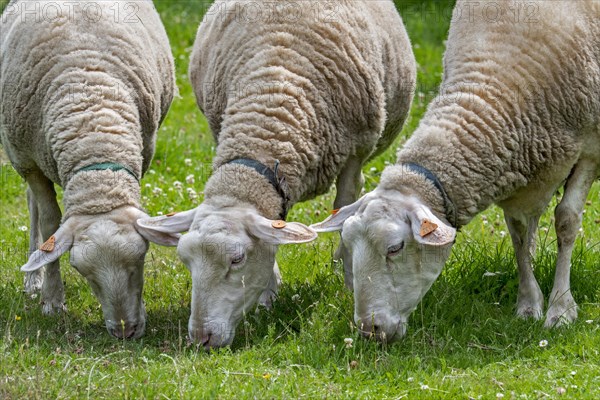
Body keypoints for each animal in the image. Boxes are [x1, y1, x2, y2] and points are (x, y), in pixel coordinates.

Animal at [0, 0, 178, 340]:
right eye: (87, 276)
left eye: (140, 262)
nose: (125, 331)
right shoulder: (28, 162)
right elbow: (49, 223)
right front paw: (52, 299)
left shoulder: (143, 150)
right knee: (32, 206)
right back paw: (33, 279)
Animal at [138, 0, 414, 350]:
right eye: (185, 260)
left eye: (237, 259)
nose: (202, 338)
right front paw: (268, 293)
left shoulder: (355, 150)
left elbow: (344, 207)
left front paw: (349, 275)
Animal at [314, 0, 600, 342]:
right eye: (348, 244)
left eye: (395, 248)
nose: (371, 330)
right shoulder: (520, 174)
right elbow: (519, 235)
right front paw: (528, 304)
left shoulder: (589, 150)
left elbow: (566, 222)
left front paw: (560, 308)